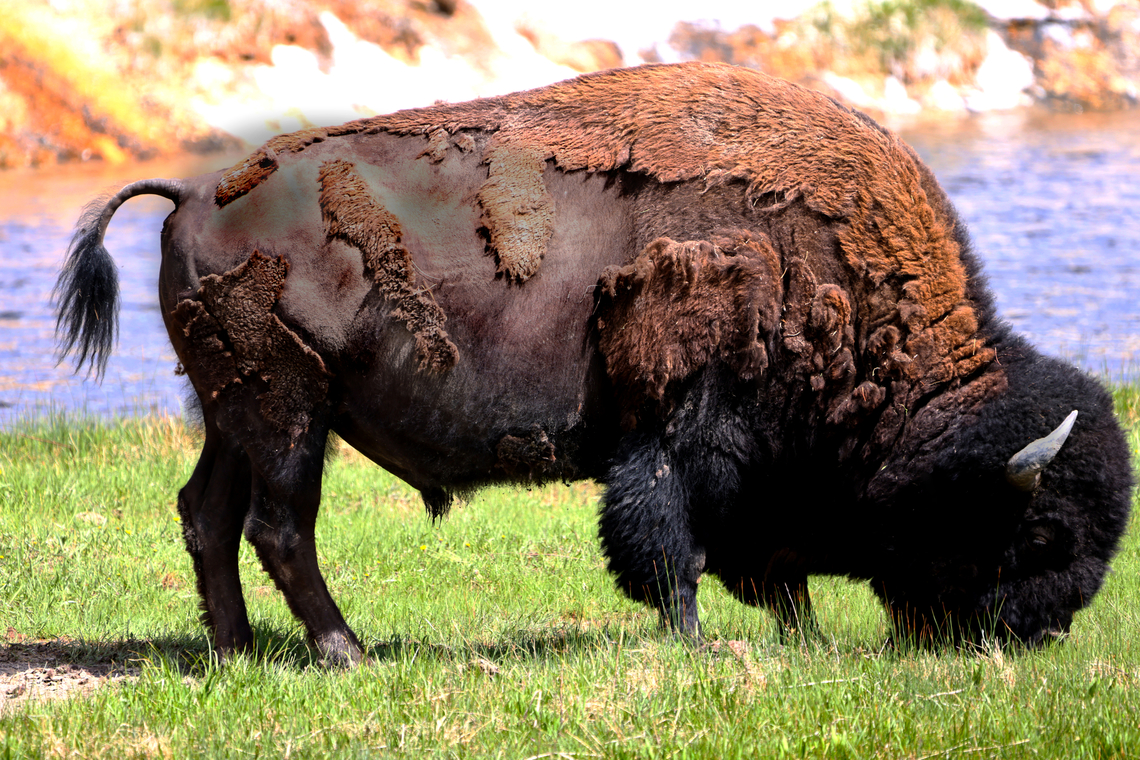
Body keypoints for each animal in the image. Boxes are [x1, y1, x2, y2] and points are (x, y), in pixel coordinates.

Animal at [56, 62, 1132, 664]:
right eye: (1038, 538)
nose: (1034, 639)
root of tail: (194, 193)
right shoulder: (676, 436)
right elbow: (672, 546)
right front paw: (699, 644)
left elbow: (764, 564)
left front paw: (800, 639)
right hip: (288, 410)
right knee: (279, 527)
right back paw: (344, 654)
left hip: (235, 411)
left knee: (207, 514)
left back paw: (238, 655)